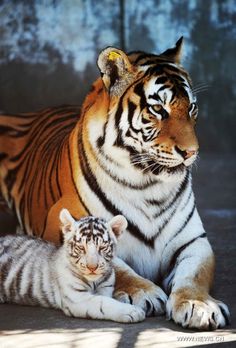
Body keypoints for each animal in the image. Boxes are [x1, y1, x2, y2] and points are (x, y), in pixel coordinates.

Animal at [0, 38, 230, 328]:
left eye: (191, 108)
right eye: (158, 109)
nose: (191, 152)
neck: (149, 186)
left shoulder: (192, 240)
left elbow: (195, 274)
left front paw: (199, 305)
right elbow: (118, 267)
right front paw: (144, 292)